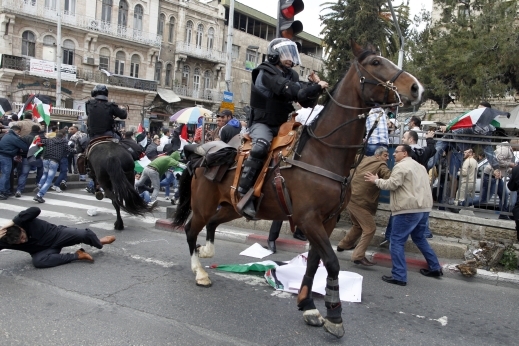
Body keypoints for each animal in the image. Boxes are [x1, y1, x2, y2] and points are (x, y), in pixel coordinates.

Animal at [173, 42, 424, 340]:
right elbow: (332, 262)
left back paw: (206, 252)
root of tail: (200, 154)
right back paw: (199, 271)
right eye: (376, 62)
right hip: (203, 205)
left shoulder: (327, 221)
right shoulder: (308, 219)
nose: (416, 87)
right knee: (191, 229)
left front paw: (308, 306)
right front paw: (334, 315)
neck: (322, 153)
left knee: (210, 224)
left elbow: (315, 262)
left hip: (230, 208)